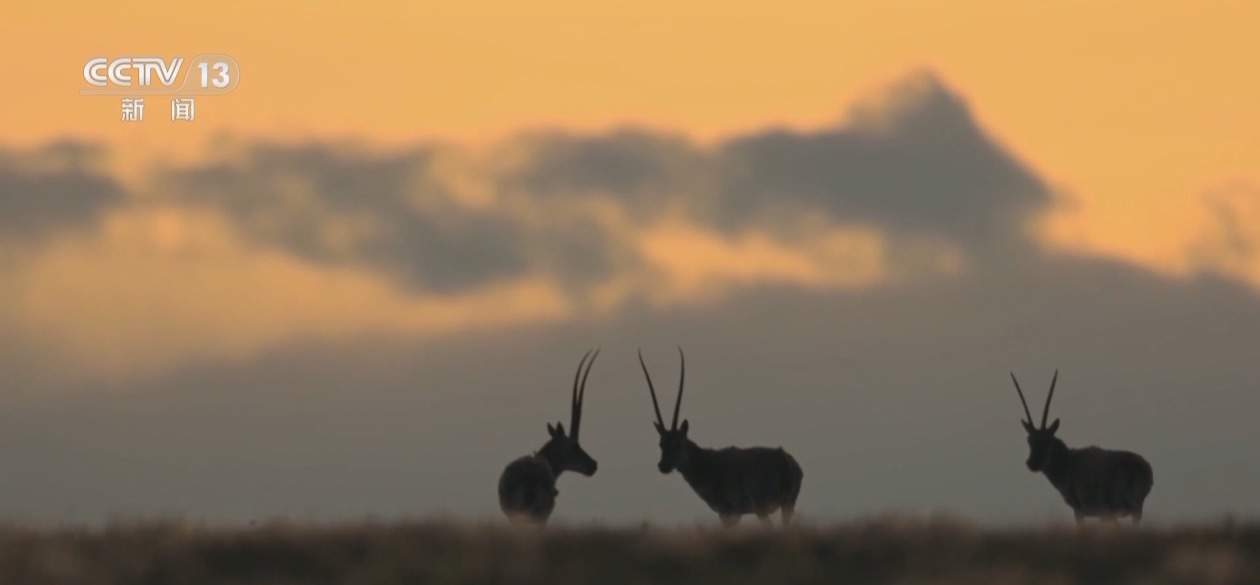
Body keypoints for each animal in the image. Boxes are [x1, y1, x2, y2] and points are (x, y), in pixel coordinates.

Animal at [635, 347, 801, 524]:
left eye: (678, 443)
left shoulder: (729, 513)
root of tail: (786, 460)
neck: (707, 462)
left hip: (762, 509)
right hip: (786, 506)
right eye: (661, 443)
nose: (663, 466)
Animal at [1013, 370, 1154, 524]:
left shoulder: (1079, 510)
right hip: (1133, 511)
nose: (1032, 463)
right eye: (1029, 440)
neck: (1068, 461)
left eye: (1047, 441)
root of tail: (1140, 467)